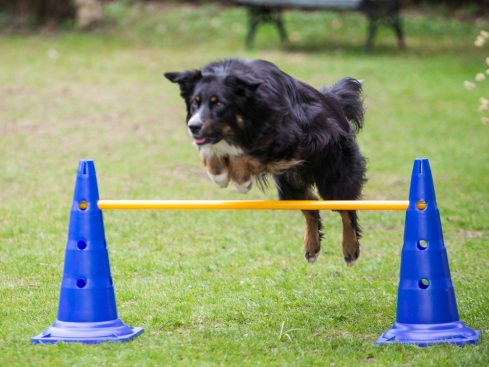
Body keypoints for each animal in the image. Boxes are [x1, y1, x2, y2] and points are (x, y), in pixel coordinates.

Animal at [164, 59, 366, 268]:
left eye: (219, 103)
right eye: (195, 103)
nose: (193, 127)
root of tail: (334, 101)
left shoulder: (288, 140)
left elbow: (248, 154)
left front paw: (241, 180)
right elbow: (212, 150)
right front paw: (218, 173)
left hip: (334, 177)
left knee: (347, 210)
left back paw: (350, 250)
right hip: (290, 185)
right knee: (312, 204)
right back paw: (312, 248)